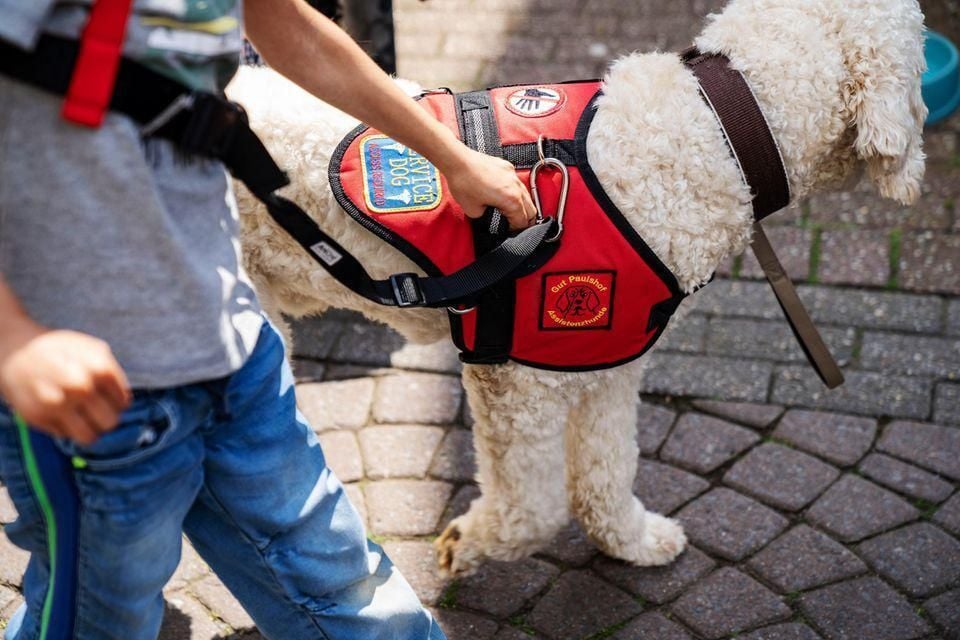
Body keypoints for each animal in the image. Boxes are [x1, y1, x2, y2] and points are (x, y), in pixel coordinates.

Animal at [229, 0, 928, 576]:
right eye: (923, 53)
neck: (715, 132)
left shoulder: (608, 365)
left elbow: (607, 470)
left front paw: (630, 542)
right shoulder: (517, 379)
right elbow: (533, 511)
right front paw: (471, 544)